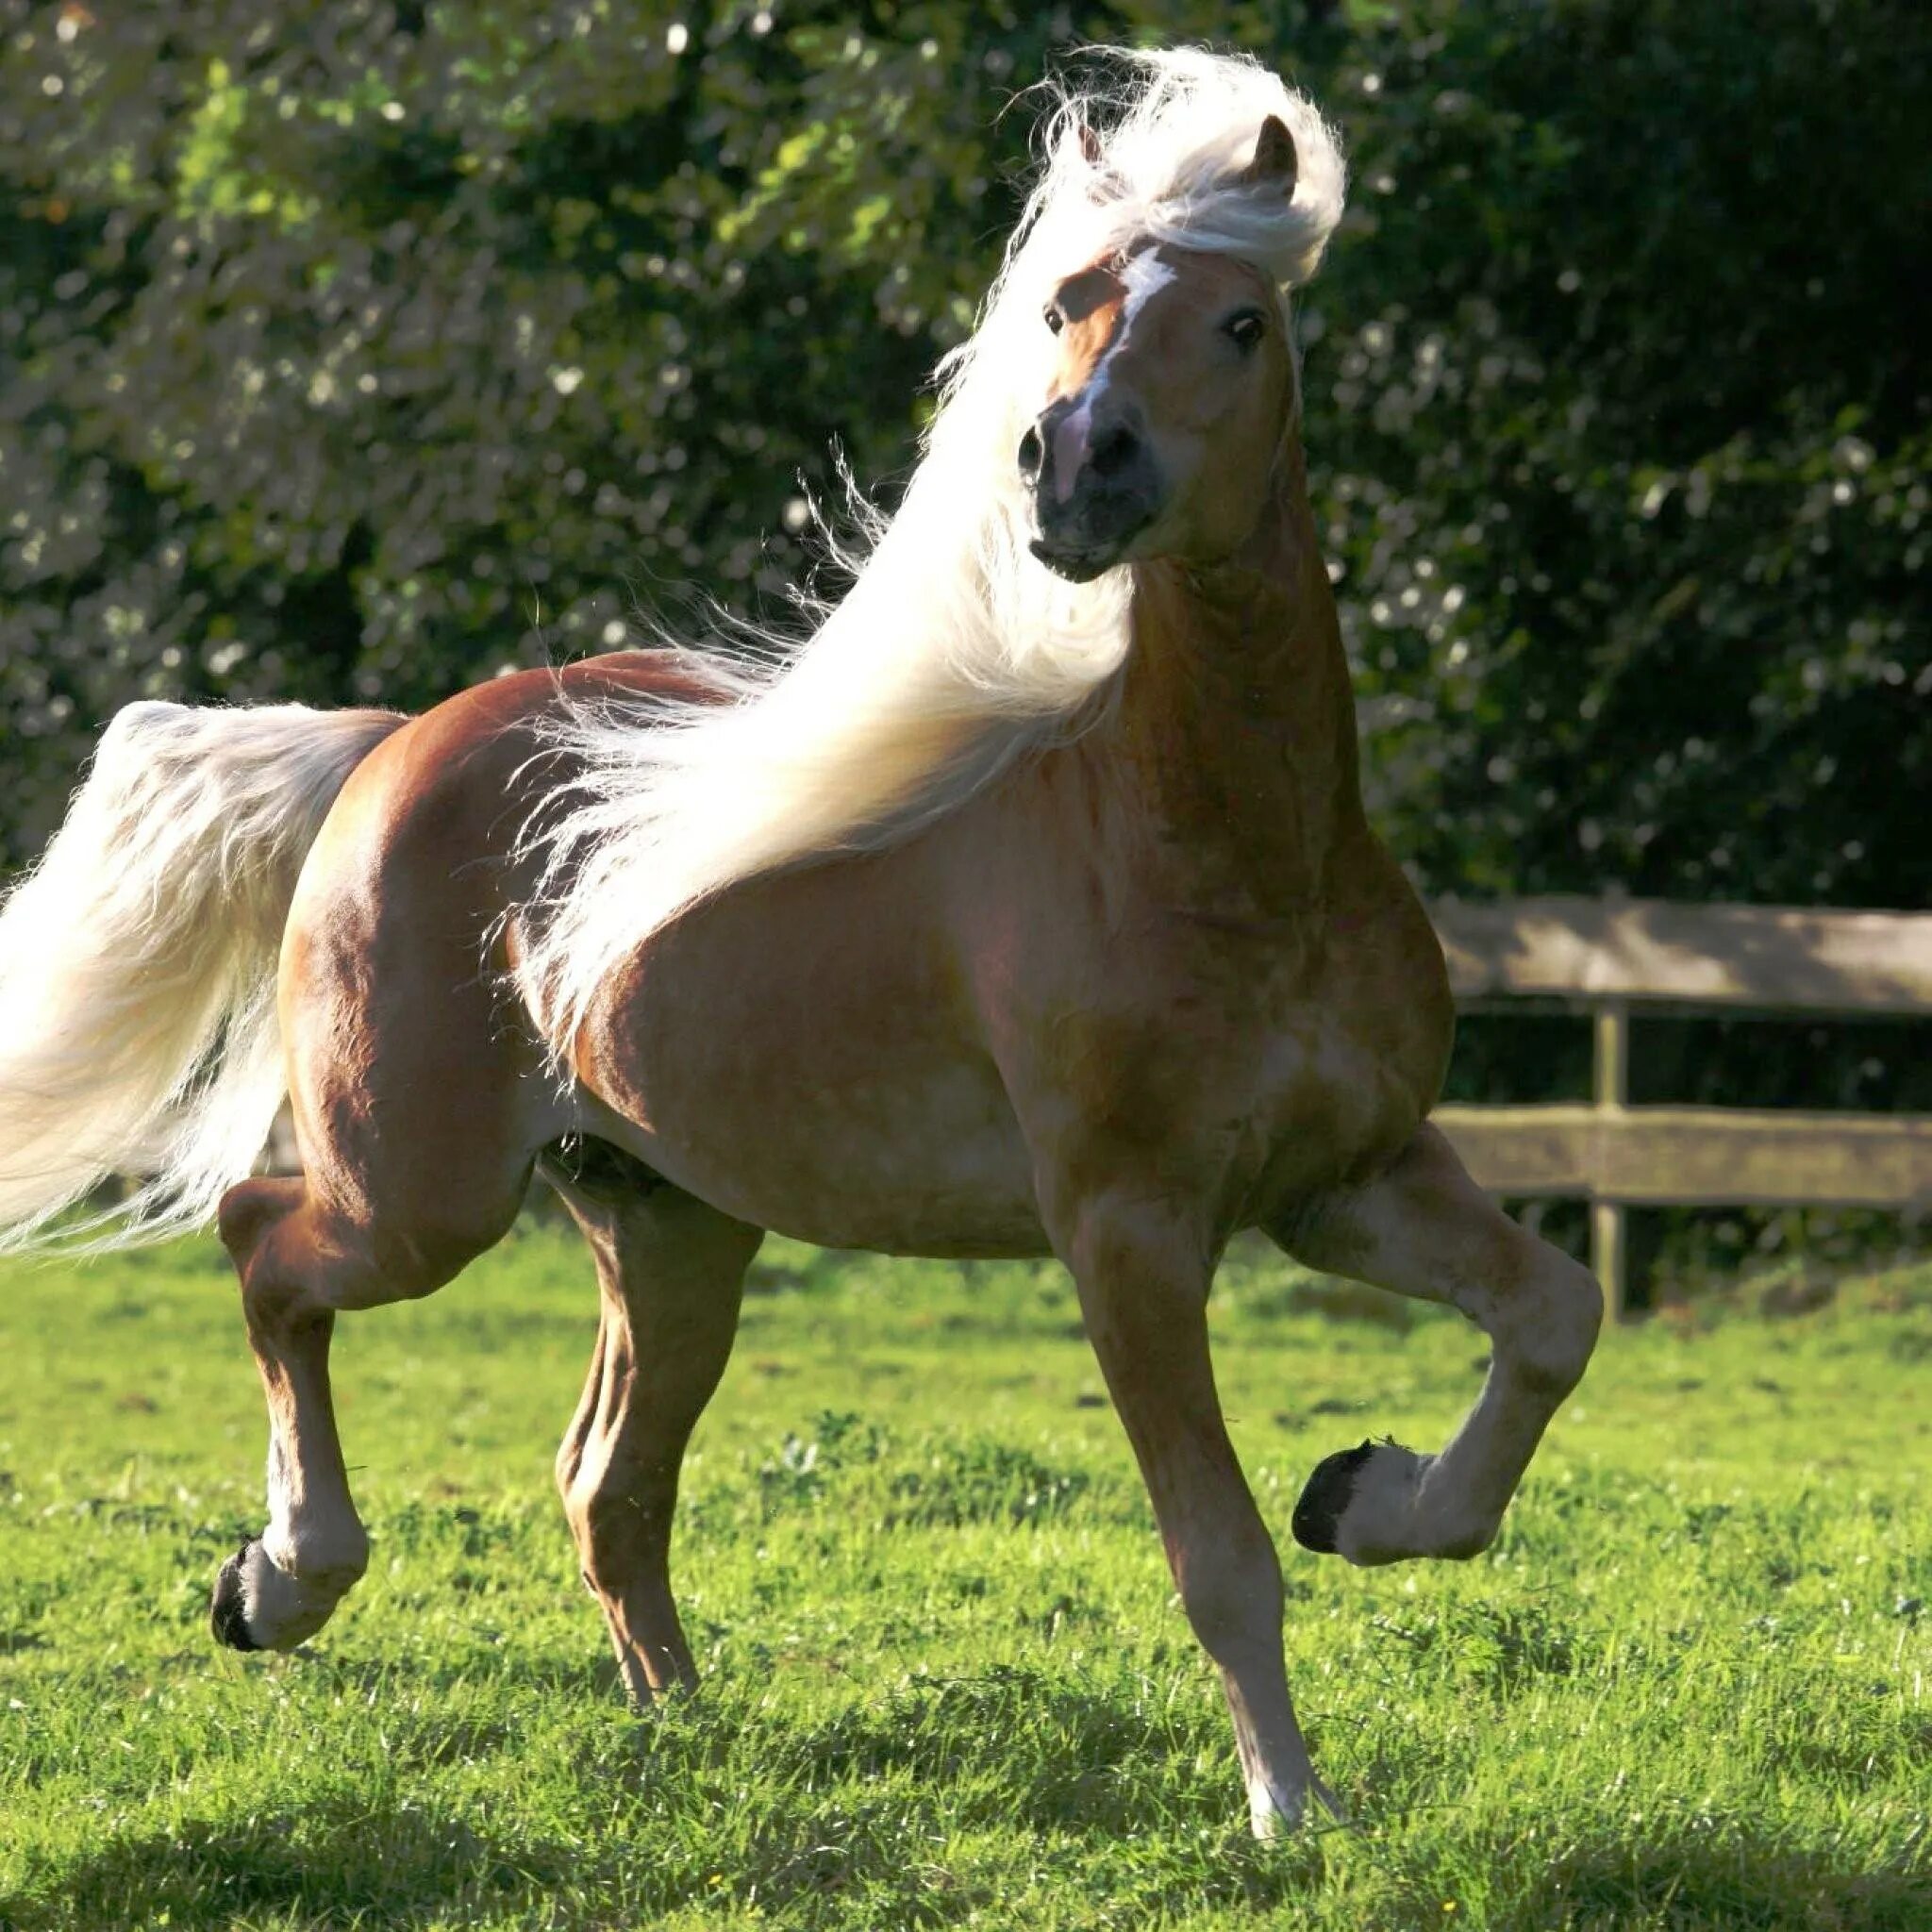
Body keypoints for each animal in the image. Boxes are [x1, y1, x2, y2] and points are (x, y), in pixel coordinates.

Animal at [0, 42, 1599, 1824]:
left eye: (1242, 322)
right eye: (1068, 303)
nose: (1076, 466)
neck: (1226, 848)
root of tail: (391, 744)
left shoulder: (1344, 1175)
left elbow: (1552, 1318)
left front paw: (1368, 1496)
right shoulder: (1127, 1232)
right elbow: (1221, 1559)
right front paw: (1289, 1813)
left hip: (671, 1226)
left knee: (603, 1484)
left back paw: (684, 1740)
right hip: (418, 1199)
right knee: (264, 1243)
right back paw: (281, 1579)